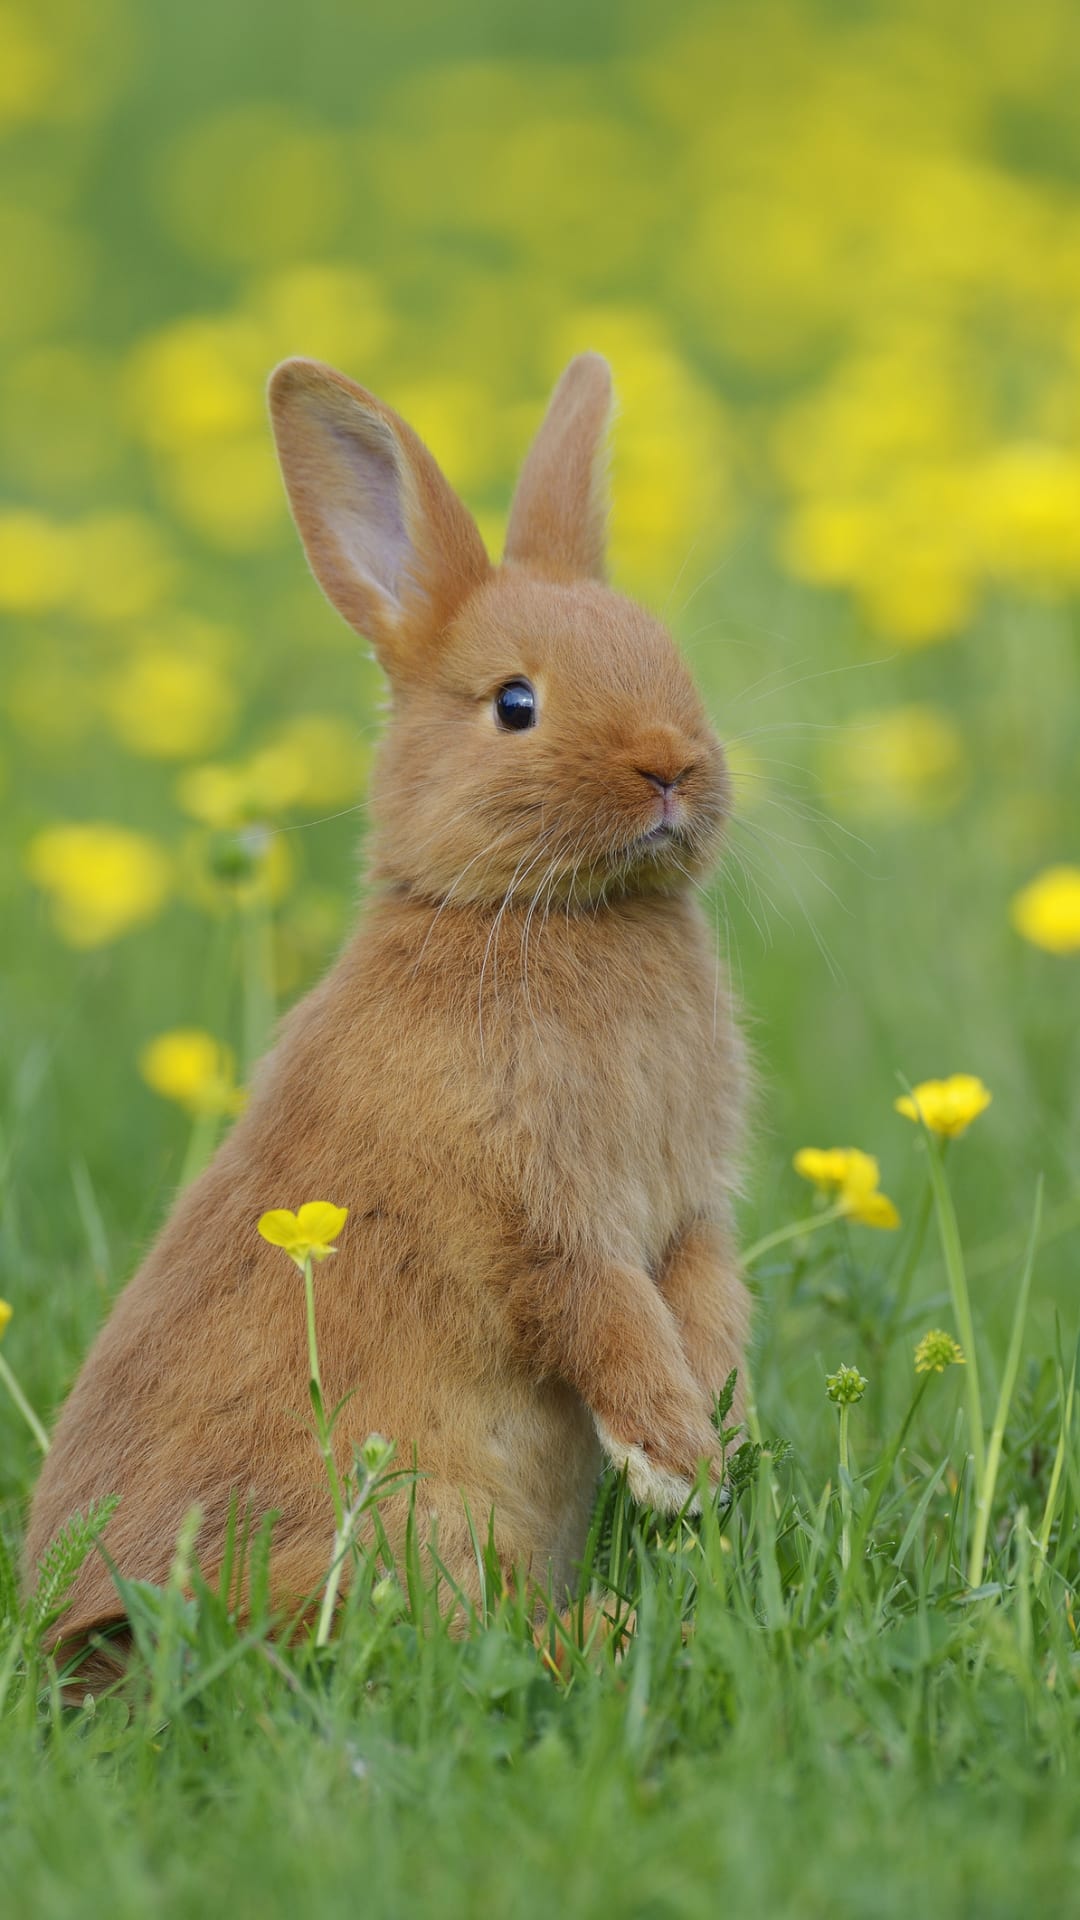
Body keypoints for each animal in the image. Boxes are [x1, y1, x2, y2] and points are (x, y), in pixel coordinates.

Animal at [27, 353, 749, 1674]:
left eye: (667, 657)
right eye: (514, 703)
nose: (670, 765)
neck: (549, 916)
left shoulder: (688, 1207)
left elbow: (705, 1294)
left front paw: (723, 1427)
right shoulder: (537, 1206)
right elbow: (602, 1310)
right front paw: (678, 1463)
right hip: (421, 1510)